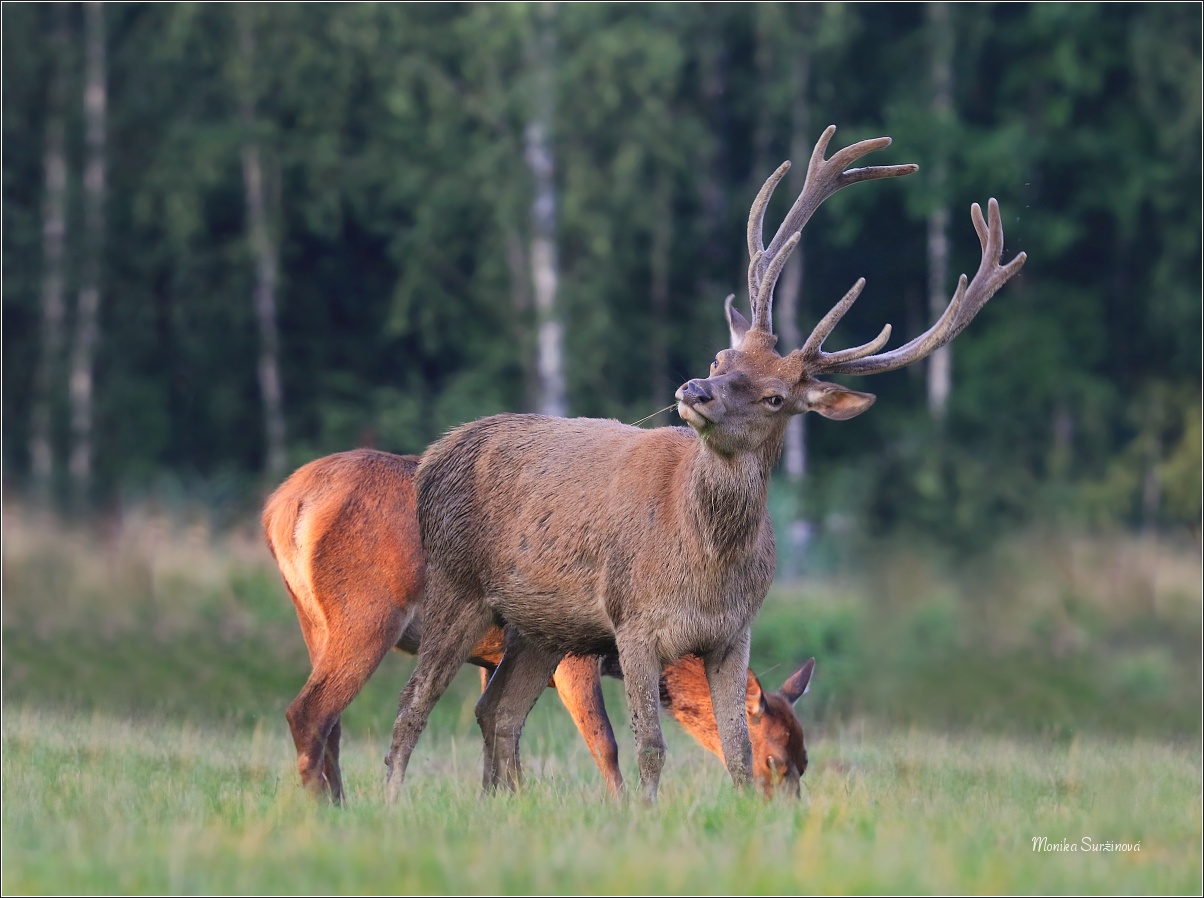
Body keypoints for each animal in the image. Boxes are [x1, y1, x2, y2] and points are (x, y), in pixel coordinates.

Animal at [258, 447, 813, 799]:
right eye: (773, 759)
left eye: (805, 760)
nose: (772, 816)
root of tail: (283, 505)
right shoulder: (575, 655)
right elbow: (605, 741)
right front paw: (623, 810)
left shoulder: (497, 653)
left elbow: (495, 722)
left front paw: (502, 801)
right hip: (368, 612)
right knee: (309, 711)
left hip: (314, 621)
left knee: (330, 720)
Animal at [385, 123, 1025, 799]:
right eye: (722, 357)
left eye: (776, 397)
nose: (695, 389)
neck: (703, 564)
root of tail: (434, 456)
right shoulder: (632, 620)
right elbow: (650, 745)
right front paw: (645, 811)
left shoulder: (732, 634)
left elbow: (736, 748)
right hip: (457, 583)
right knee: (412, 705)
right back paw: (393, 800)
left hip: (542, 625)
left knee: (497, 710)